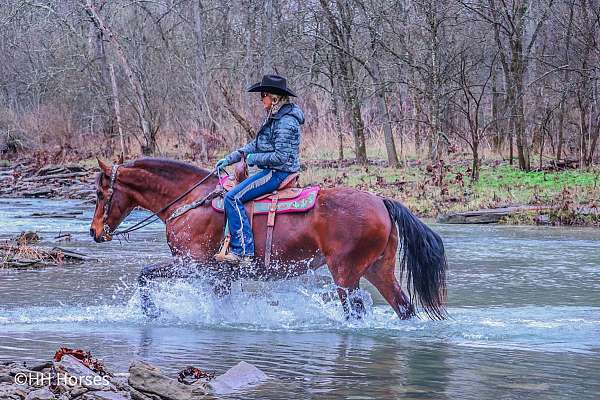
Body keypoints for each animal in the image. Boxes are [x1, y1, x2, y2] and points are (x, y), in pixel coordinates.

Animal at [88, 158, 446, 320]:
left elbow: (145, 275)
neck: (190, 202)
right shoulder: (220, 275)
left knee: (354, 312)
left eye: (101, 193)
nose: (94, 232)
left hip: (345, 274)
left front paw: (152, 313)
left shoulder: (194, 264)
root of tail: (381, 202)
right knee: (403, 306)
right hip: (377, 269)